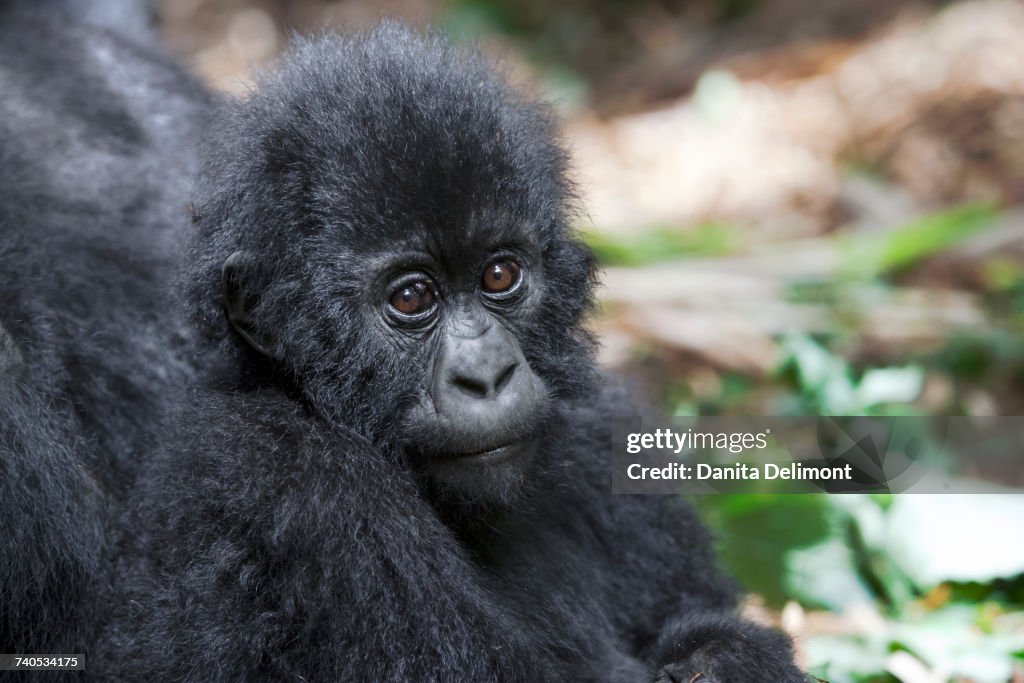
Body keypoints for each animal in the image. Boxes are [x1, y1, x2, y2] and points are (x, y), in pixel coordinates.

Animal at [105, 24, 806, 679]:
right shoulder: (288, 481)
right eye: (413, 296)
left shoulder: (599, 425)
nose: (488, 375)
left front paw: (720, 655)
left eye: (499, 275)